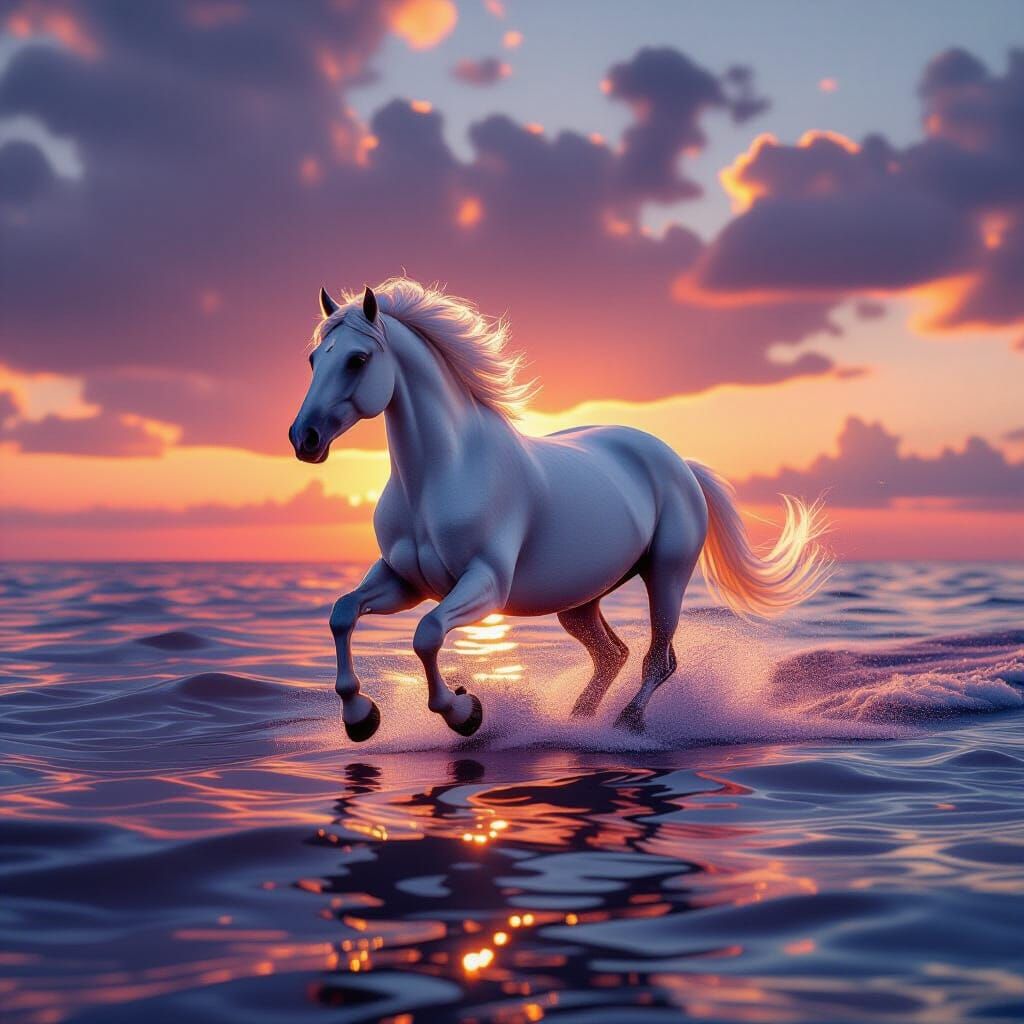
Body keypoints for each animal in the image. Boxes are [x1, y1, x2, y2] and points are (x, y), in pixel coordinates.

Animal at [289, 278, 832, 742]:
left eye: (358, 359)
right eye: (314, 359)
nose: (304, 439)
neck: (442, 476)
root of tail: (679, 463)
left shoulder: (485, 585)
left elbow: (427, 635)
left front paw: (465, 711)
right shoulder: (404, 581)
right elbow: (342, 614)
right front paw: (360, 717)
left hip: (667, 575)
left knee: (658, 659)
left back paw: (626, 726)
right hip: (580, 600)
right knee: (612, 655)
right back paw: (576, 722)